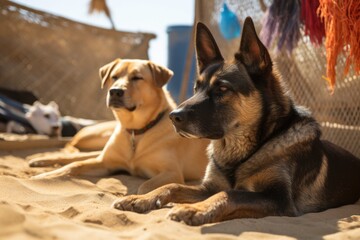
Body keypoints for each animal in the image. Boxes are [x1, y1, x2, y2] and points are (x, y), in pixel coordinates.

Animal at [31, 59, 211, 194]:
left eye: (137, 78)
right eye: (114, 76)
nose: (115, 91)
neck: (136, 131)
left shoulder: (172, 172)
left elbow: (144, 187)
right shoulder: (105, 163)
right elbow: (75, 165)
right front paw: (44, 177)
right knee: (75, 155)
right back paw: (40, 161)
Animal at [114, 17, 360, 226]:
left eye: (223, 89)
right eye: (196, 88)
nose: (173, 117)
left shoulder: (278, 198)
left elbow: (231, 193)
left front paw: (195, 209)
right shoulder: (207, 187)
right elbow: (173, 185)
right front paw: (141, 198)